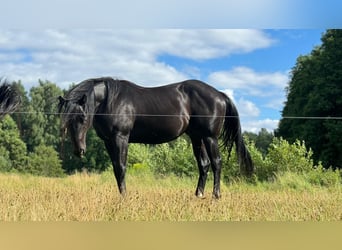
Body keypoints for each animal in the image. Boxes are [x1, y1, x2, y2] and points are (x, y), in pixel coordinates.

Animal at [57, 77, 252, 198]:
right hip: (197, 137)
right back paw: (198, 195)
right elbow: (115, 169)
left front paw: (124, 197)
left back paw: (215, 195)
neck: (110, 101)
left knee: (217, 162)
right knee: (204, 165)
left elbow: (121, 167)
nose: (79, 151)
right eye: (66, 121)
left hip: (210, 137)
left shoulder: (121, 138)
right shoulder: (109, 142)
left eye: (82, 117)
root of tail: (219, 94)